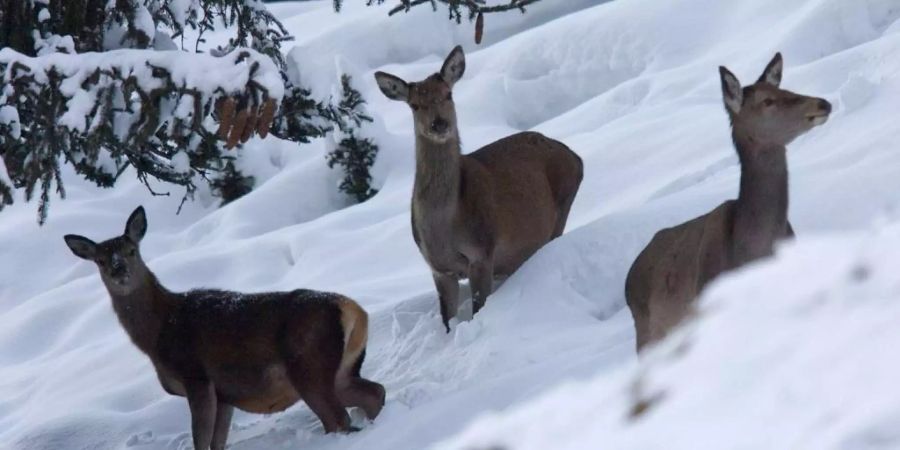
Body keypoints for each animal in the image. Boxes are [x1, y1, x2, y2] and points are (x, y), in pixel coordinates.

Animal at [62, 207, 386, 446]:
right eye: (100, 260)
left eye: (132, 250)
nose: (119, 270)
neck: (157, 335)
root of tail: (353, 310)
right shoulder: (226, 393)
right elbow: (217, 442)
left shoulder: (196, 377)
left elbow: (201, 441)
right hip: (341, 370)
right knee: (374, 393)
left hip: (309, 366)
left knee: (340, 419)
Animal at [372, 45, 584, 332]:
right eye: (414, 105)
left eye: (448, 94)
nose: (439, 124)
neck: (443, 231)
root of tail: (576, 157)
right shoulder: (438, 269)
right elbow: (447, 321)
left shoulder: (483, 251)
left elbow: (478, 309)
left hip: (561, 208)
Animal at [624, 53, 828, 352]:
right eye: (767, 101)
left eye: (785, 89)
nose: (822, 103)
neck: (753, 251)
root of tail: (628, 277)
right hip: (648, 334)